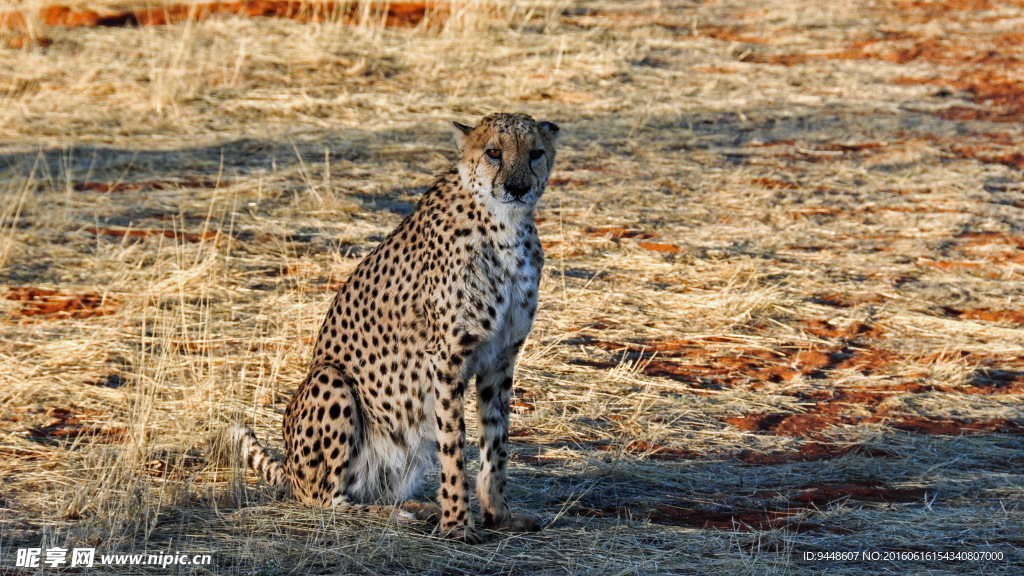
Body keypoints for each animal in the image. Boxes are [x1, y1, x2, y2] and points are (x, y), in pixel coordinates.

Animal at [232, 109, 561, 541]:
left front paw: (498, 515)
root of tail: (289, 470)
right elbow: (454, 446)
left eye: (536, 153)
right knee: (324, 500)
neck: (504, 227)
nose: (518, 187)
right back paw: (397, 515)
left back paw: (415, 506)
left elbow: (497, 442)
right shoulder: (446, 358)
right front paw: (458, 524)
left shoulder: (500, 357)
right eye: (494, 152)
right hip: (330, 380)